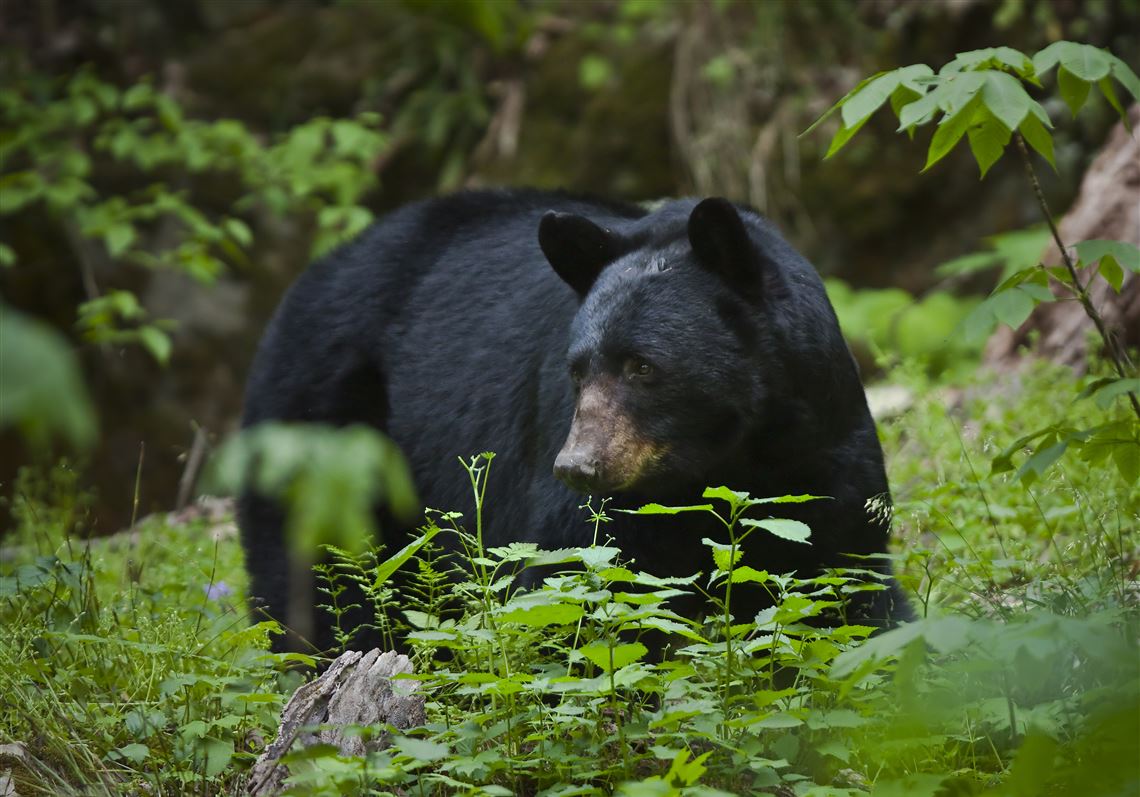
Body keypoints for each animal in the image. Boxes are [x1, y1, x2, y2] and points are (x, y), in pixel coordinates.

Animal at [235, 190, 912, 652]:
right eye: (578, 368)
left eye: (643, 365)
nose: (578, 466)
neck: (730, 456)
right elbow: (575, 588)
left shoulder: (823, 447)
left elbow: (848, 581)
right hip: (322, 426)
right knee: (318, 577)